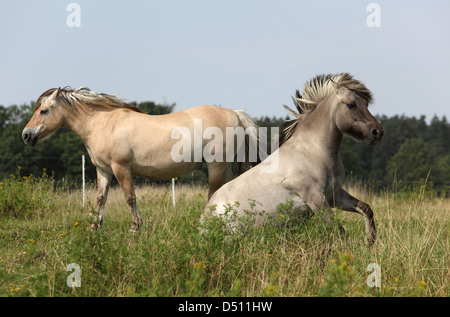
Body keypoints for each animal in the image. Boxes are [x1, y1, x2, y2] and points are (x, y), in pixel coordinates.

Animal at [22, 86, 258, 230]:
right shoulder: (103, 170)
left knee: (214, 193)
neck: (102, 124)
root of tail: (235, 113)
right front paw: (95, 226)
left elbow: (130, 197)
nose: (26, 135)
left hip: (216, 166)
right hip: (223, 167)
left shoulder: (121, 168)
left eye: (43, 111)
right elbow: (100, 198)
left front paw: (135, 227)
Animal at [204, 73, 384, 244]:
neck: (314, 151)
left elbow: (366, 209)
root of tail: (204, 218)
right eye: (351, 105)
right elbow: (338, 229)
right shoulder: (315, 198)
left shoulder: (335, 194)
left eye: (366, 104)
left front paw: (369, 241)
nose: (377, 132)